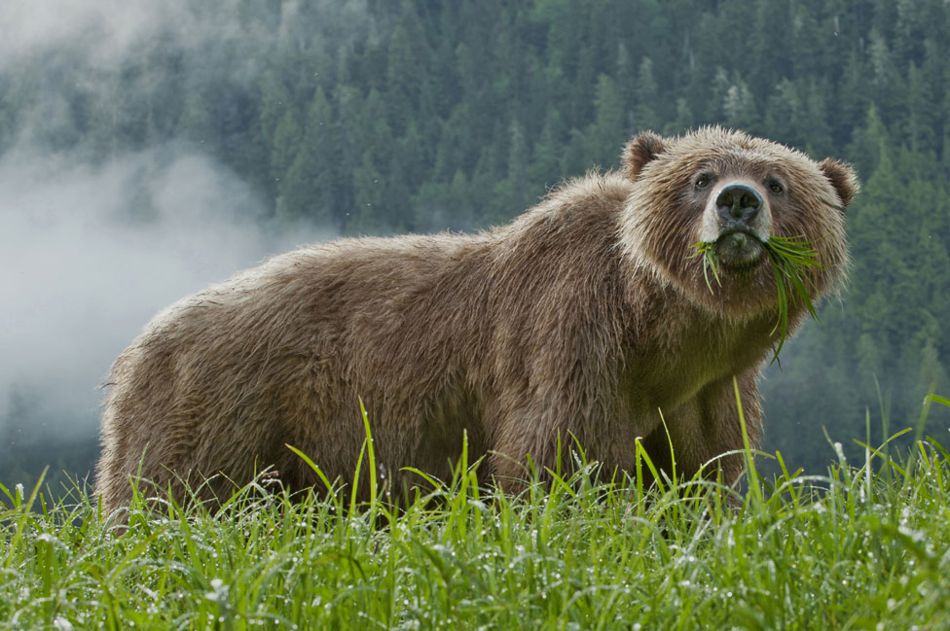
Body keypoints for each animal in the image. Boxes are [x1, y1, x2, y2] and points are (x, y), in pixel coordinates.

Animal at [96, 128, 864, 512]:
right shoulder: (571, 343)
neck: (664, 337)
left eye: (779, 181)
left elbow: (698, 479)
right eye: (700, 176)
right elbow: (556, 464)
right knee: (170, 503)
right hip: (219, 412)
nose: (737, 201)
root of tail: (136, 346)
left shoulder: (709, 396)